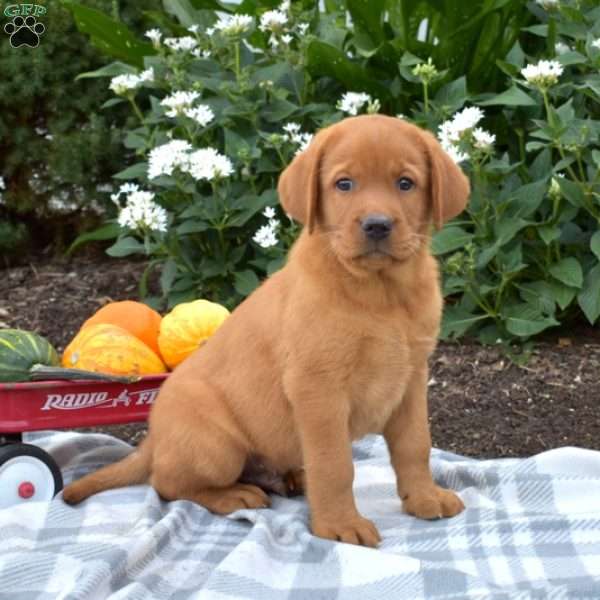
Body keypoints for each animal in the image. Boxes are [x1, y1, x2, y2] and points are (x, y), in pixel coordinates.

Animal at [64, 113, 468, 548]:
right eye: (344, 184)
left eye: (406, 183)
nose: (377, 225)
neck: (382, 294)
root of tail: (153, 439)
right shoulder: (317, 387)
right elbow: (335, 465)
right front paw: (339, 524)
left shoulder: (411, 379)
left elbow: (415, 446)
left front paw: (424, 498)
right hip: (217, 444)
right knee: (167, 483)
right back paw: (234, 495)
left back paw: (292, 478)